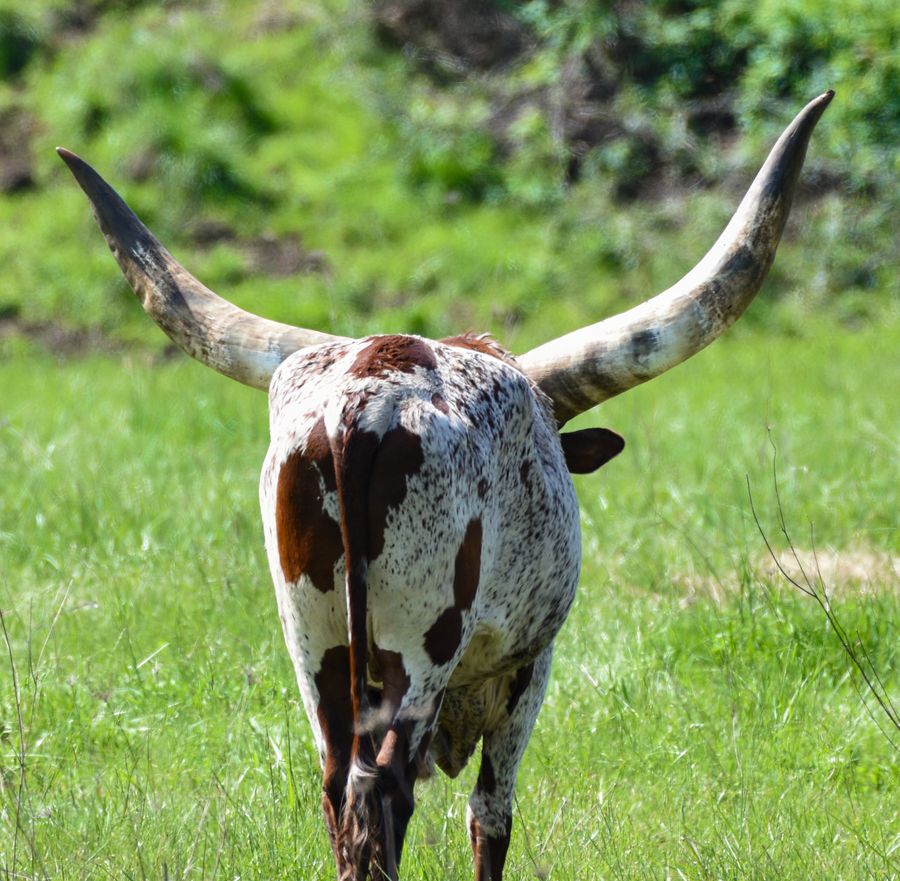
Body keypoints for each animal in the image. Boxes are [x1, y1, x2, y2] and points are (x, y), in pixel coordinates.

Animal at [58, 91, 832, 881]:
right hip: (420, 643)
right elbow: (491, 814)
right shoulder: (529, 671)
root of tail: (364, 400)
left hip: (313, 640)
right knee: (385, 789)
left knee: (338, 787)